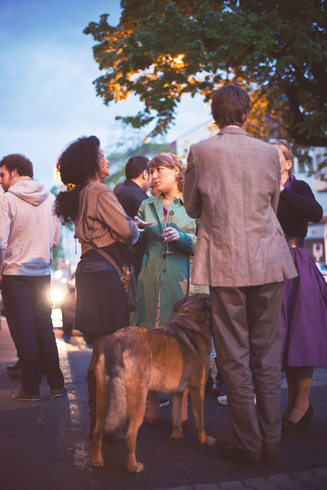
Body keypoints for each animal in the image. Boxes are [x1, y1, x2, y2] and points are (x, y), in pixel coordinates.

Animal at [91, 292, 217, 472]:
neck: (191, 315)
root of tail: (118, 340)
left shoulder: (177, 392)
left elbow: (176, 416)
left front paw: (177, 435)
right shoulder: (198, 389)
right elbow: (201, 421)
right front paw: (204, 440)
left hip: (103, 402)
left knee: (97, 432)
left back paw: (96, 461)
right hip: (137, 404)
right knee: (130, 436)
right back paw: (133, 467)